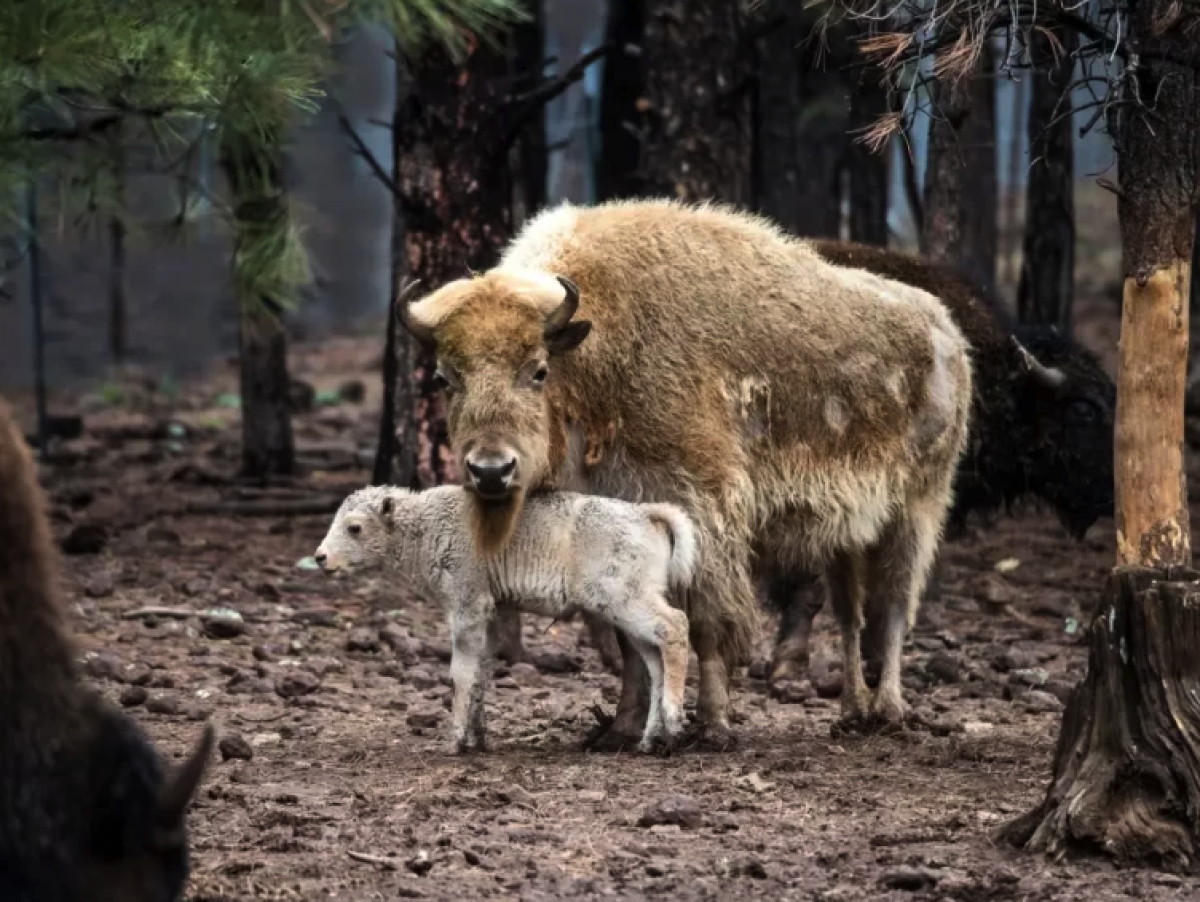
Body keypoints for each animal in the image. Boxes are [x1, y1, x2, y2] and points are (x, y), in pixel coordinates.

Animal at [314, 486, 700, 753]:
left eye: (354, 528)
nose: (320, 557)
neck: (425, 524)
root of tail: (645, 514)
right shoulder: (491, 614)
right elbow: (482, 672)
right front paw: (478, 740)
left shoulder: (467, 607)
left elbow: (461, 673)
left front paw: (453, 742)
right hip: (627, 613)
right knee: (655, 660)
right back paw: (648, 741)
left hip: (624, 601)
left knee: (675, 626)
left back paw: (674, 723)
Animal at [403, 200, 974, 743]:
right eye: (445, 377)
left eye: (538, 370)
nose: (490, 471)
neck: (600, 351)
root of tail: (945, 331)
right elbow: (629, 638)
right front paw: (620, 728)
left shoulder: (705, 513)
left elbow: (705, 624)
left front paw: (714, 725)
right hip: (847, 533)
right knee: (852, 616)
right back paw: (852, 713)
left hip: (917, 508)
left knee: (894, 606)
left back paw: (889, 711)